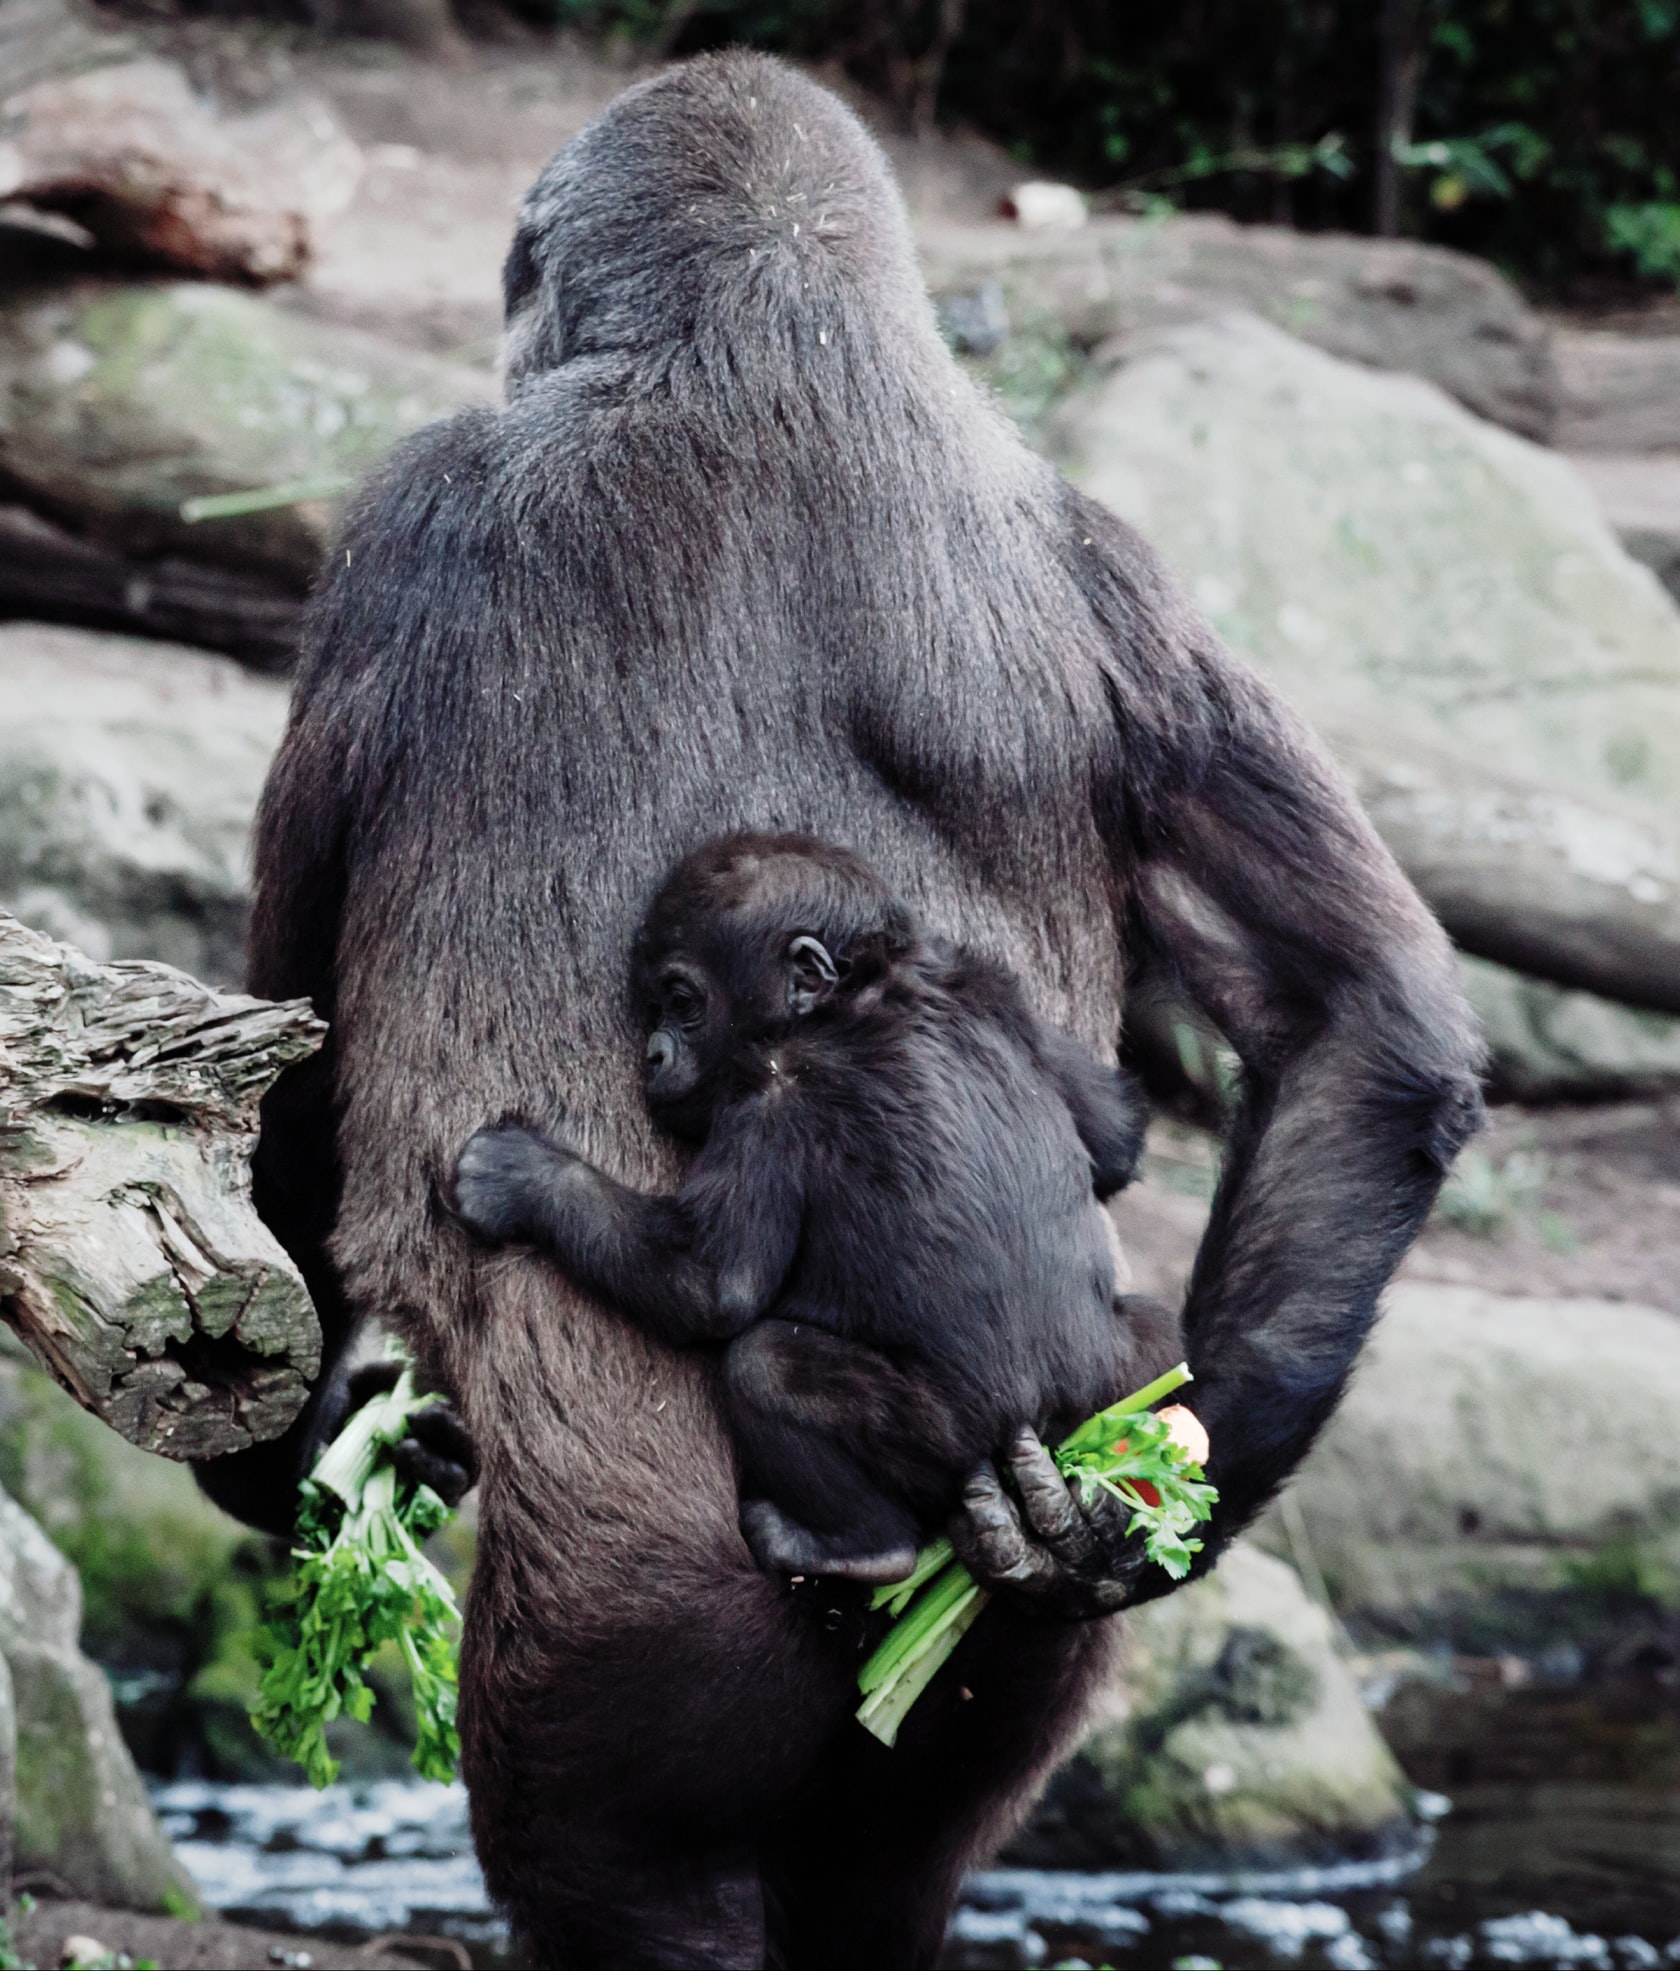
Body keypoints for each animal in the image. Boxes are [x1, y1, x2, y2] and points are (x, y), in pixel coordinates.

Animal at [453, 831, 1175, 1584]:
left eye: (680, 1000)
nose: (652, 1054)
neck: (856, 991)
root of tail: (1047, 1426)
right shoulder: (982, 979)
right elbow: (1116, 1134)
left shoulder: (767, 1096)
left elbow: (712, 1286)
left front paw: (523, 1177)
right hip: (1108, 1395)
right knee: (1158, 1338)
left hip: (947, 1434)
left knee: (765, 1364)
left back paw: (862, 1545)